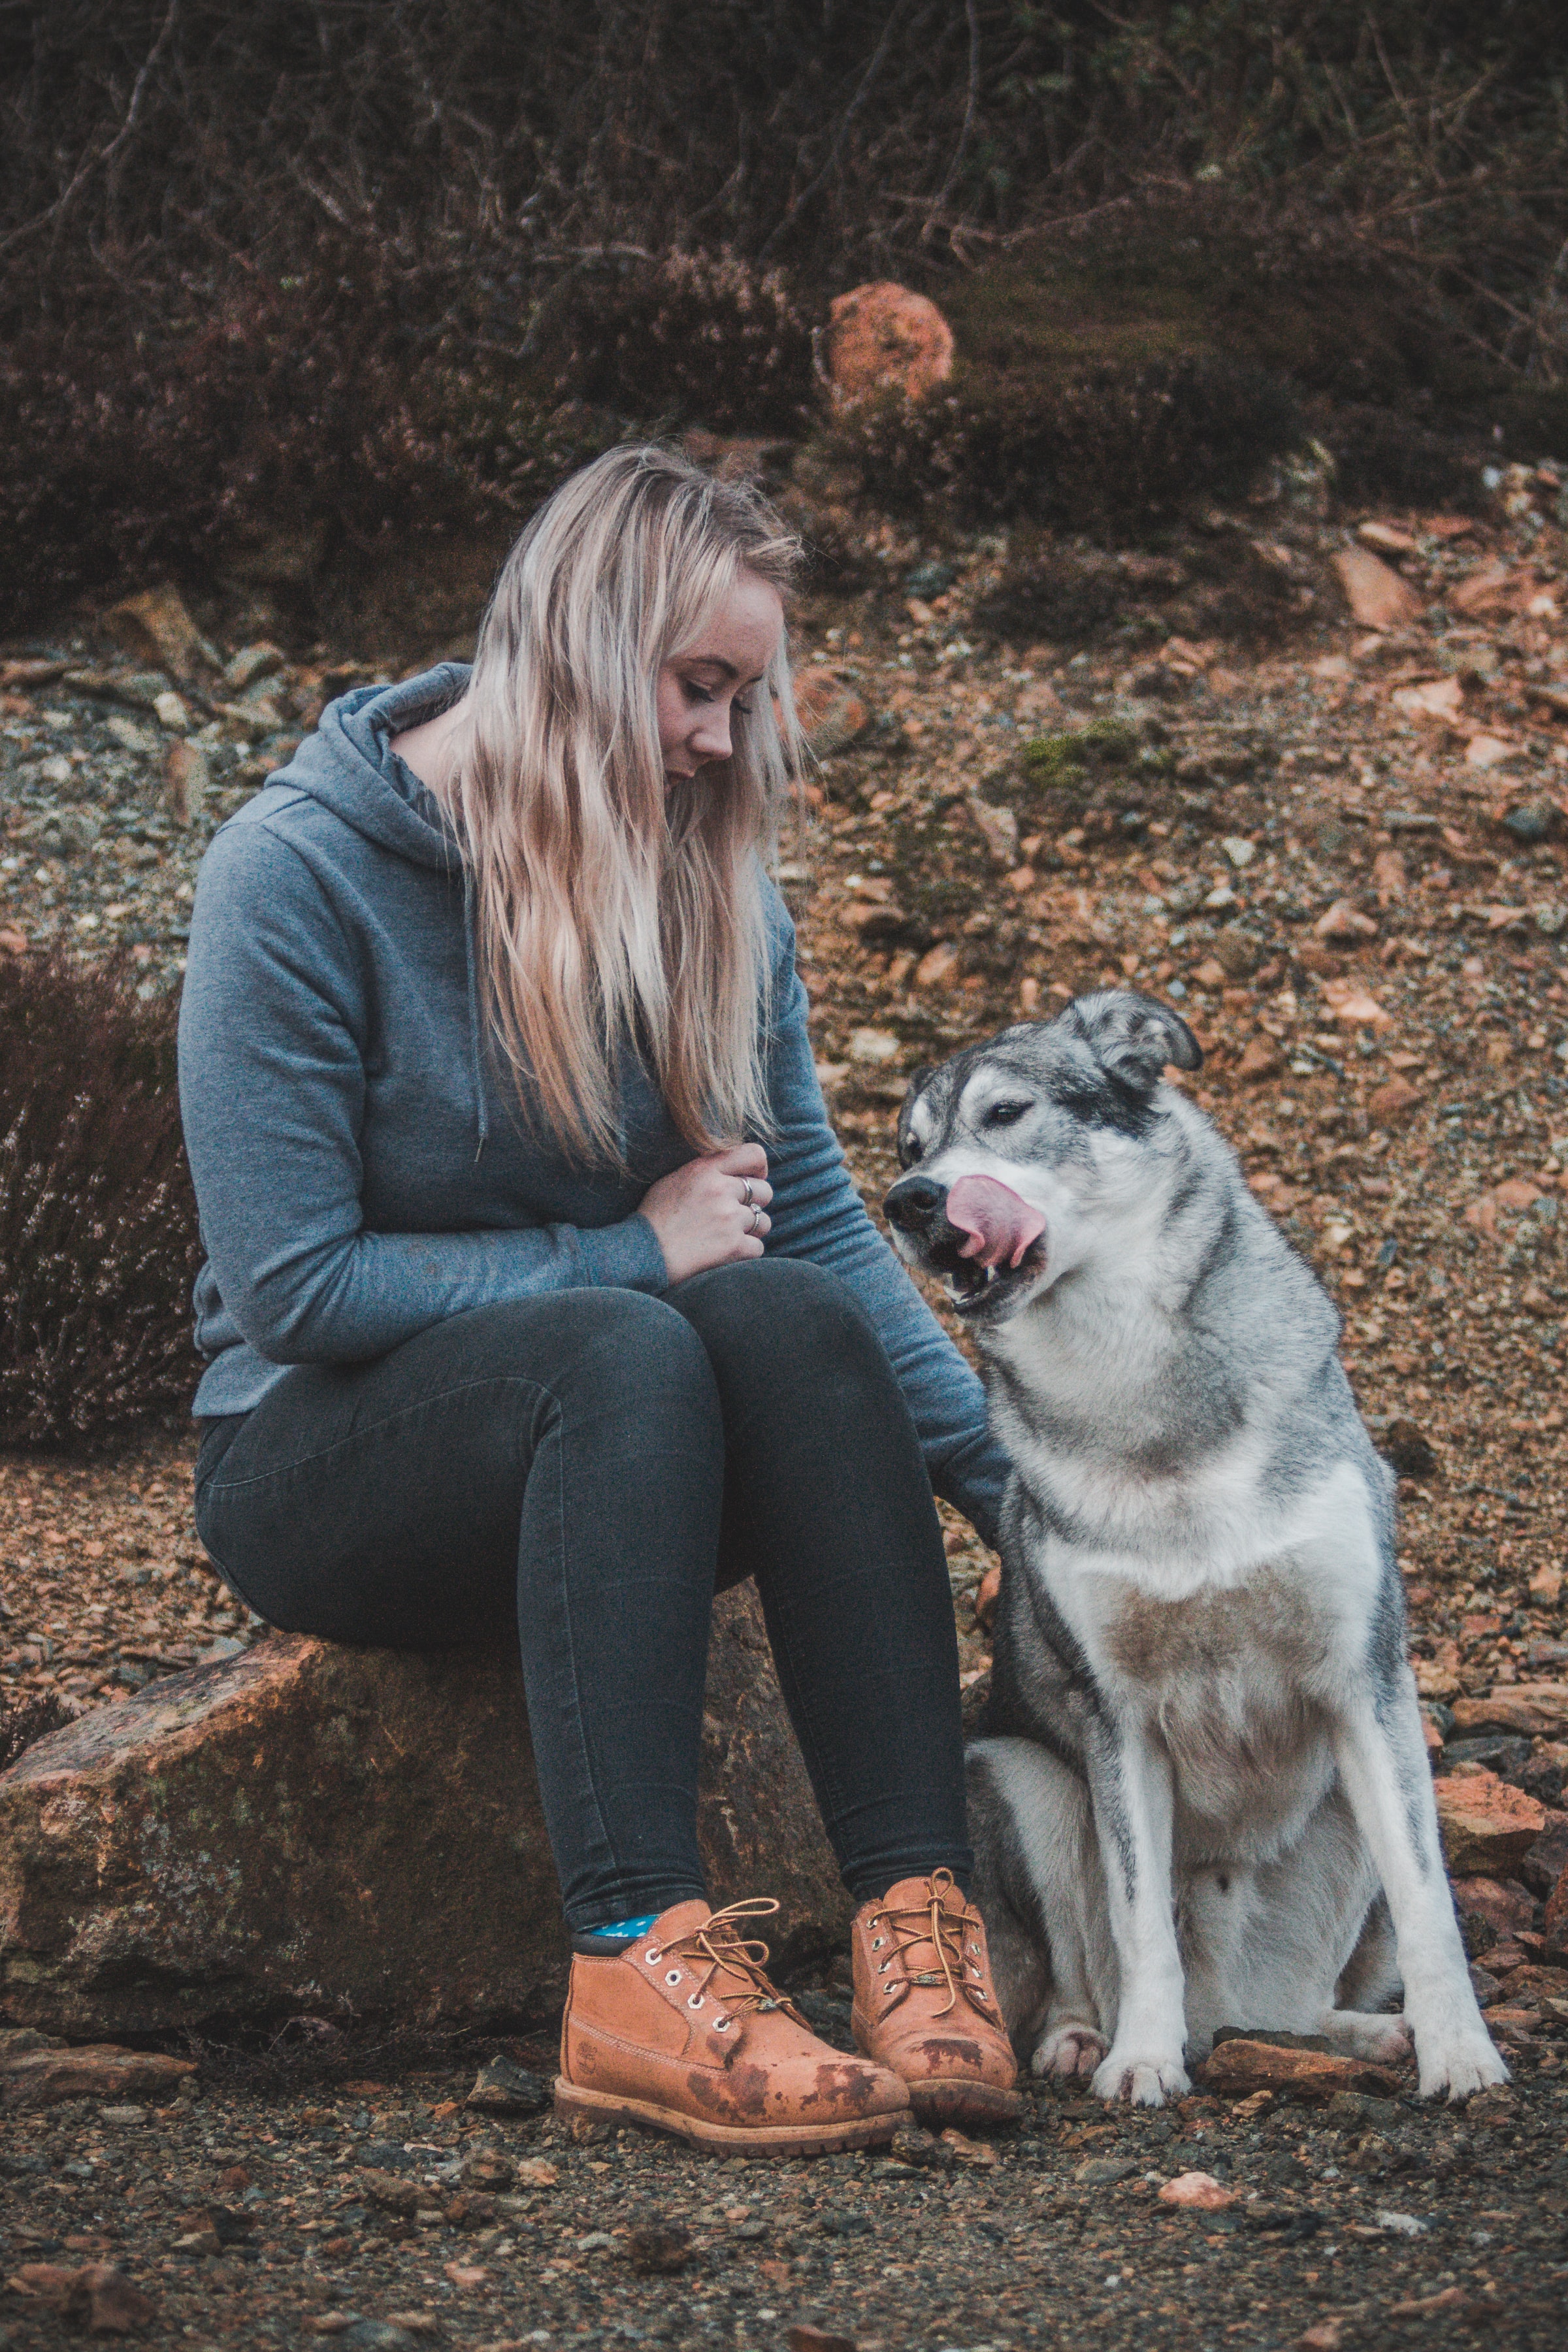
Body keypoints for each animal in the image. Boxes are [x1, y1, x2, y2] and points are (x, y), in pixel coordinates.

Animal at [883, 992, 1504, 2117]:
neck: (1143, 1403)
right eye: (910, 1148)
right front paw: (1141, 2059)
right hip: (1022, 1779)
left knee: (1308, 2001)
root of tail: (1229, 2009)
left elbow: (1431, 1906)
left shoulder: (1368, 1686)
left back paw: (1366, 2034)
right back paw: (1087, 2040)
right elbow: (1139, 1927)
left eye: (1005, 1114)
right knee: (1080, 1974)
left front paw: (1461, 2056)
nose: (908, 1202)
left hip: (1375, 1780)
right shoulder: (1118, 1724)